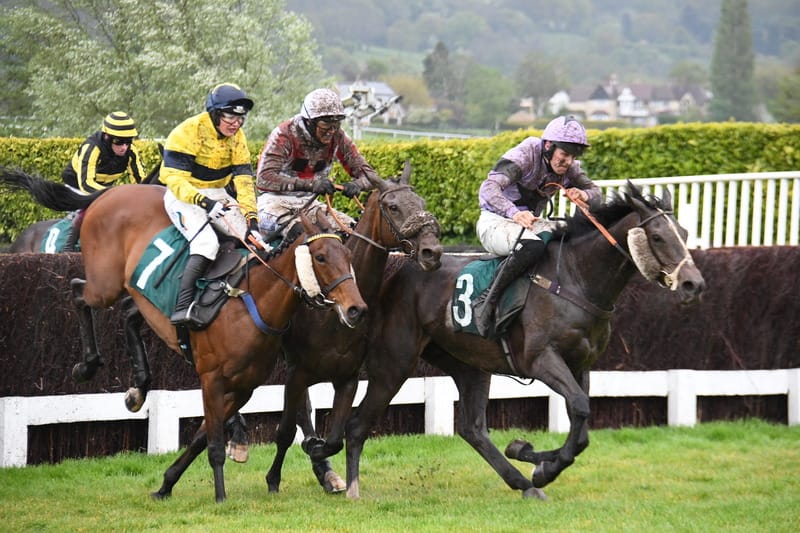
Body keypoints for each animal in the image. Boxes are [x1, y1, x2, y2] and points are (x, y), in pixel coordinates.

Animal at [0, 167, 368, 502]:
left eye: (349, 255)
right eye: (321, 257)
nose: (356, 309)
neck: (251, 304)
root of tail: (112, 193)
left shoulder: (244, 387)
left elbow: (202, 436)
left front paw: (167, 483)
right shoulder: (211, 378)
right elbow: (214, 442)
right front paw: (220, 497)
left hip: (136, 295)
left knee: (127, 315)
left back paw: (138, 388)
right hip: (104, 283)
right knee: (78, 291)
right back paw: (87, 365)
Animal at [263, 161, 443, 494]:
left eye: (422, 203)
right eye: (393, 206)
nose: (432, 253)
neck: (332, 314)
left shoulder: (347, 377)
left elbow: (334, 438)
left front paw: (319, 451)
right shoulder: (297, 370)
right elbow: (285, 430)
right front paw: (274, 478)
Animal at [342, 181, 706, 500]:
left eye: (685, 234)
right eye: (657, 236)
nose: (694, 284)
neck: (573, 281)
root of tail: (401, 264)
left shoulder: (580, 365)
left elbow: (582, 425)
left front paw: (529, 455)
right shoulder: (541, 359)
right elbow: (579, 406)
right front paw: (541, 465)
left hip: (467, 363)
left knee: (473, 428)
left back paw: (521, 483)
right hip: (395, 362)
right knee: (358, 423)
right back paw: (351, 488)